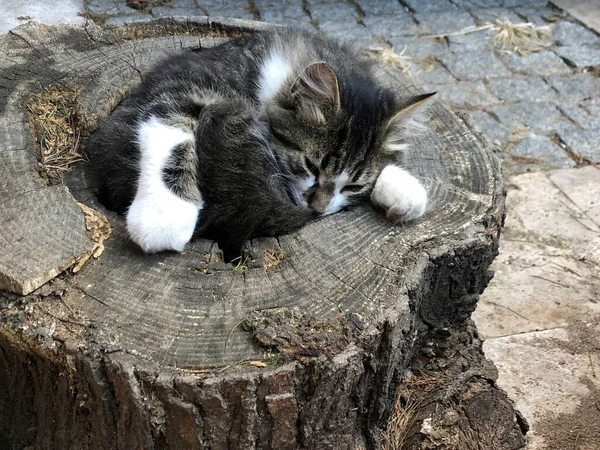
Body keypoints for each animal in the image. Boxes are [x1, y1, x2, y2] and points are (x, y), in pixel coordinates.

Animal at [85, 28, 432, 256]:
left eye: (354, 186)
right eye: (311, 166)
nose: (318, 210)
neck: (262, 79)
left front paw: (403, 188)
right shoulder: (177, 87)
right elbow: (170, 130)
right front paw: (163, 214)